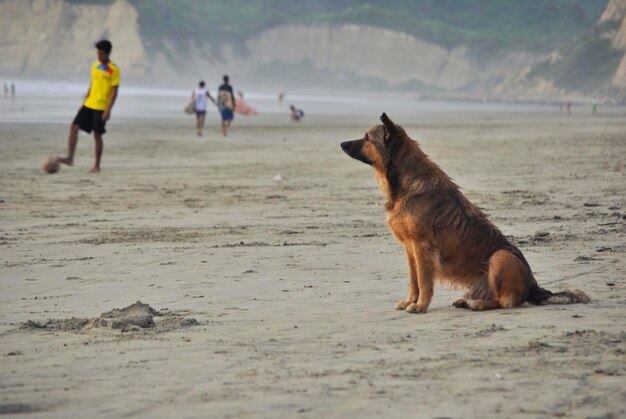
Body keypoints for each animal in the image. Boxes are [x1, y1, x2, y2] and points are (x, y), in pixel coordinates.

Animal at [338, 113, 588, 314]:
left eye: (367, 138)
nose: (341, 143)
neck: (405, 182)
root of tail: (533, 286)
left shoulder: (422, 248)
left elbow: (424, 281)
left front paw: (420, 306)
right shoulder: (410, 250)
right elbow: (413, 281)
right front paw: (411, 301)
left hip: (500, 257)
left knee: (504, 302)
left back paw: (478, 304)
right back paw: (466, 300)